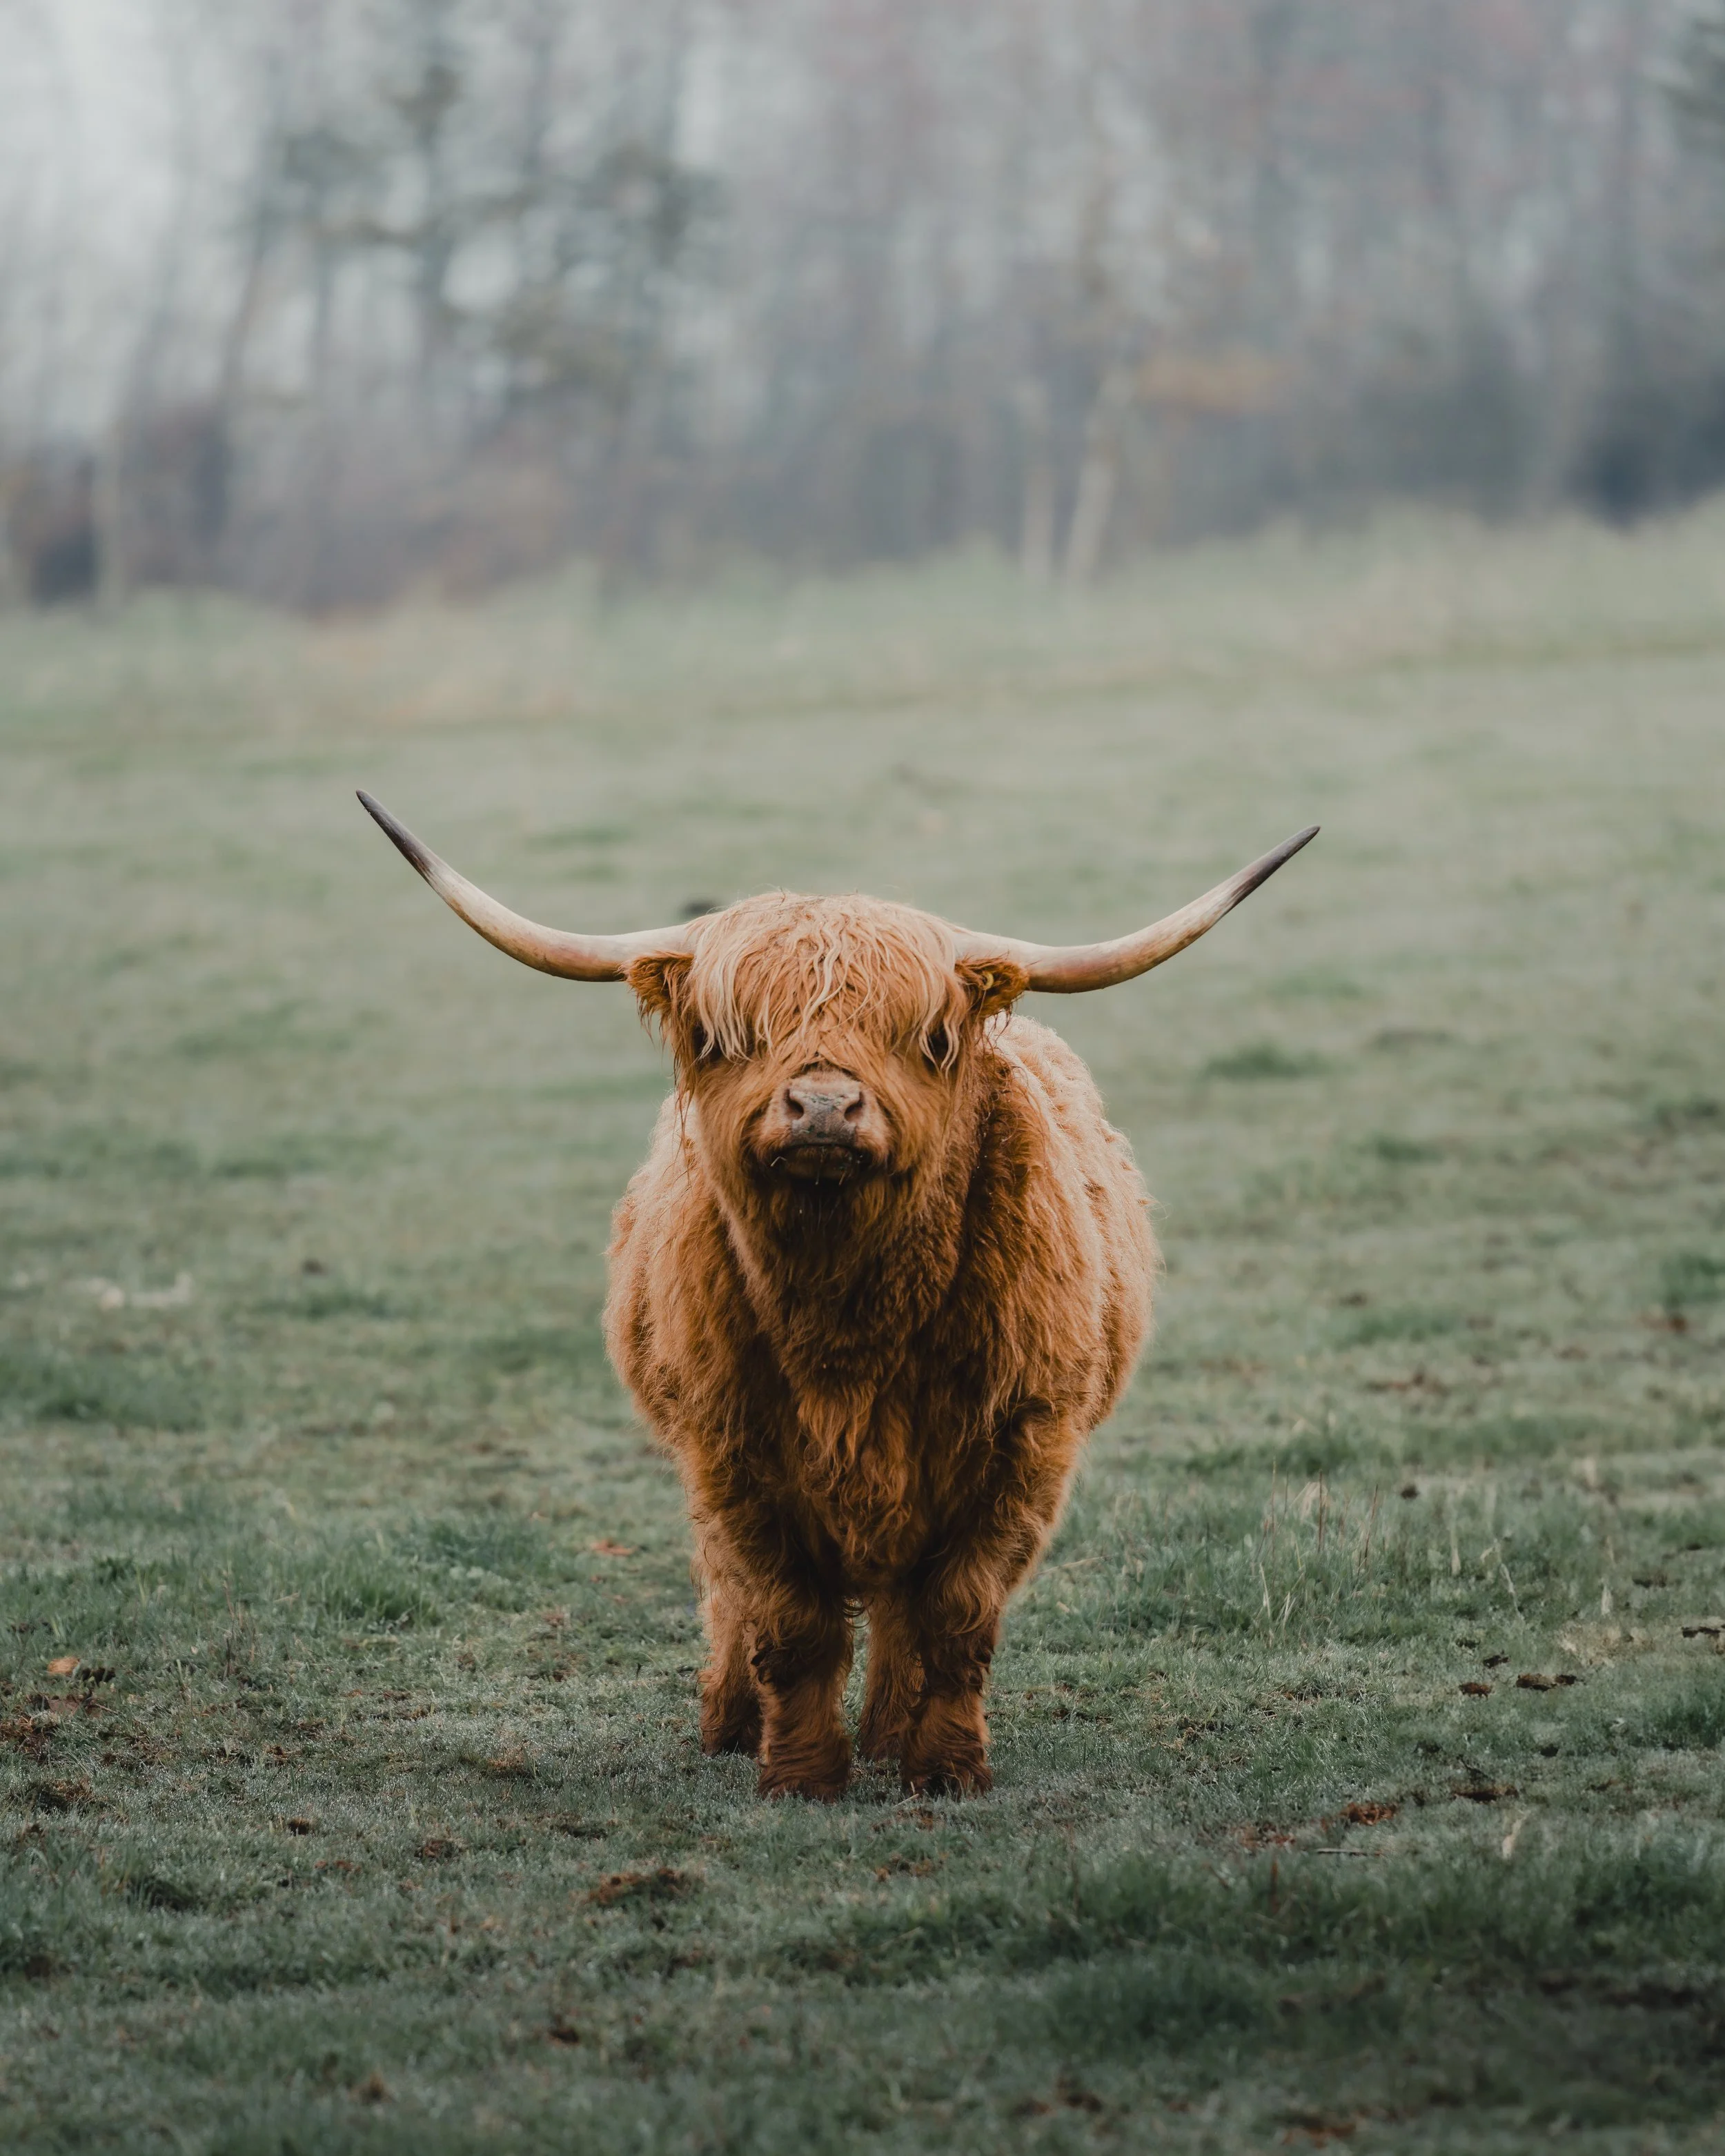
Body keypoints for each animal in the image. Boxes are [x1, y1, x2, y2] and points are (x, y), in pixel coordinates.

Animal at [359, 793, 1316, 1799]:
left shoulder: (1023, 1447)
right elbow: (788, 1620)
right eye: (728, 1036)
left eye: (925, 1038)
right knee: (728, 1590)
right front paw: (801, 1775)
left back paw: (891, 1734)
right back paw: (729, 1722)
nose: (821, 1108)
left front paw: (946, 1769)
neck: (845, 1325)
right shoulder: (732, 1454)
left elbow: (956, 1614)